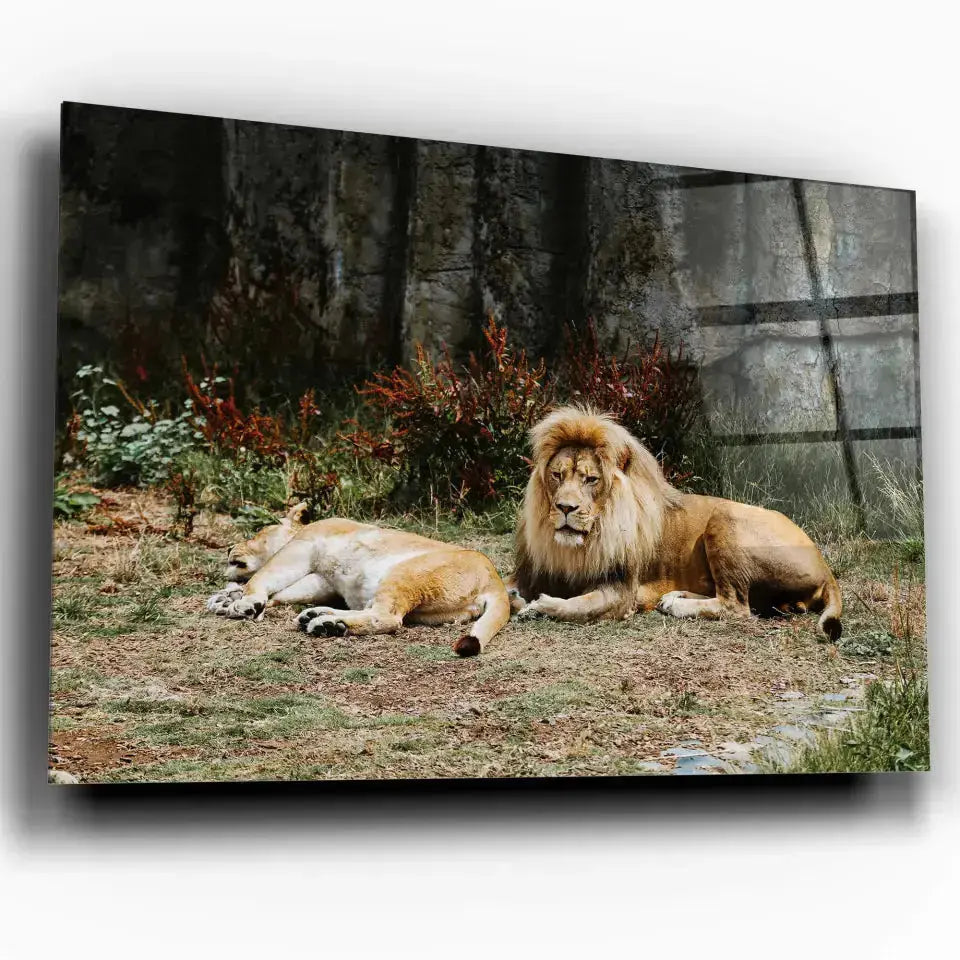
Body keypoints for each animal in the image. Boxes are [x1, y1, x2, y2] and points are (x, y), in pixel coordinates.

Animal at [206, 503, 511, 656]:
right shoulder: (320, 579)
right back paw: (322, 619)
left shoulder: (300, 549)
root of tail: (496, 582)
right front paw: (225, 599)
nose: (228, 549)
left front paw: (244, 603)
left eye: (256, 532)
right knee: (373, 611)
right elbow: (281, 593)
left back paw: (325, 624)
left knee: (387, 618)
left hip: (405, 573)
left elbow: (261, 577)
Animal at [510, 407, 842, 640]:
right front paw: (517, 600)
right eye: (557, 475)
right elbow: (509, 591)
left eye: (591, 479)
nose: (565, 507)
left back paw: (677, 605)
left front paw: (538, 607)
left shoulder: (622, 591)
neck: (580, 545)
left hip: (724, 517)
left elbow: (578, 606)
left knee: (736, 605)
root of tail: (826, 567)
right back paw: (674, 596)